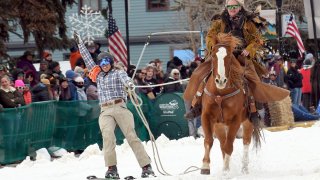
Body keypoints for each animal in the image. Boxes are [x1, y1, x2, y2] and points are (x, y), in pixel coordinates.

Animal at [200, 33, 262, 175]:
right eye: (213, 56)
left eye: (228, 56)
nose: (221, 80)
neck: (220, 93)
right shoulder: (206, 116)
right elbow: (209, 141)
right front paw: (205, 166)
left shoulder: (235, 120)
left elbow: (229, 146)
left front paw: (225, 173)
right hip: (219, 126)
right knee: (222, 143)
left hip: (247, 122)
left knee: (245, 142)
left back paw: (244, 168)